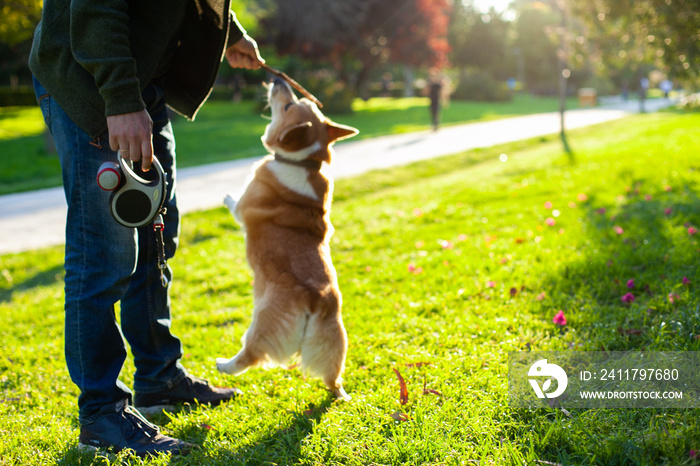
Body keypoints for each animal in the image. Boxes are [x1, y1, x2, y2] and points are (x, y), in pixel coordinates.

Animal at [216, 77, 358, 400]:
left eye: (288, 105)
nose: (278, 79)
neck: (302, 162)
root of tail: (317, 299)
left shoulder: (244, 206)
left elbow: (236, 204)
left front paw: (226, 195)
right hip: (335, 340)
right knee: (333, 378)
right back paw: (340, 394)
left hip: (262, 322)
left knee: (251, 354)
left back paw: (224, 365)